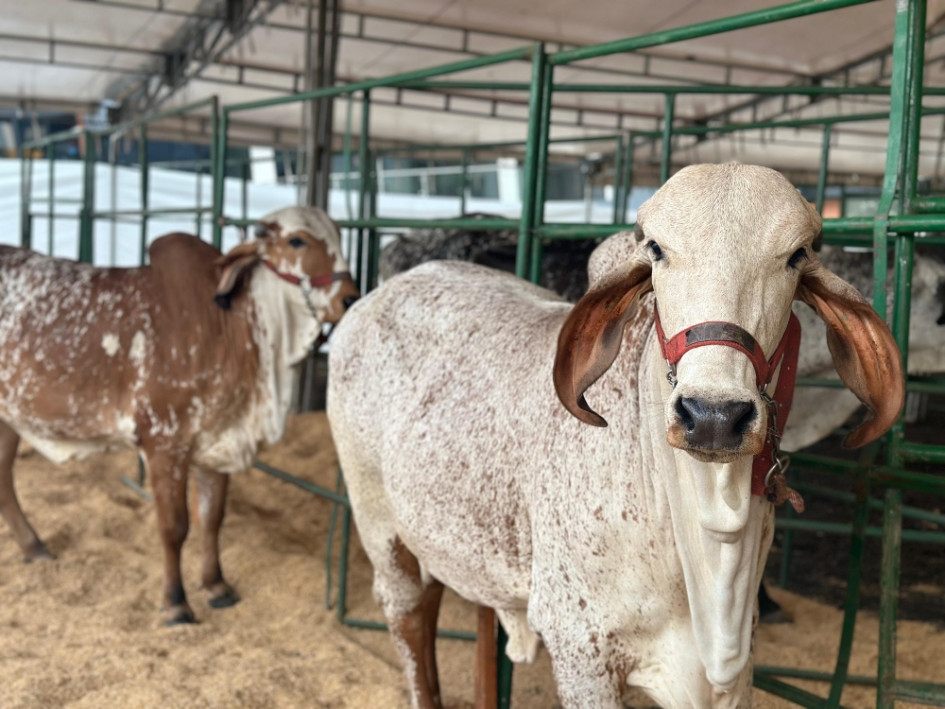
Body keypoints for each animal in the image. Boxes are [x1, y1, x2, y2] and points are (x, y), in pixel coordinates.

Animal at [0, 206, 360, 624]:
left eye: (339, 236)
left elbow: (212, 517)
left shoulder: (218, 439)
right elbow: (174, 526)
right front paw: (175, 602)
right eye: (297, 240)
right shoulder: (164, 441)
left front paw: (216, 585)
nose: (351, 298)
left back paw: (34, 546)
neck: (231, 326)